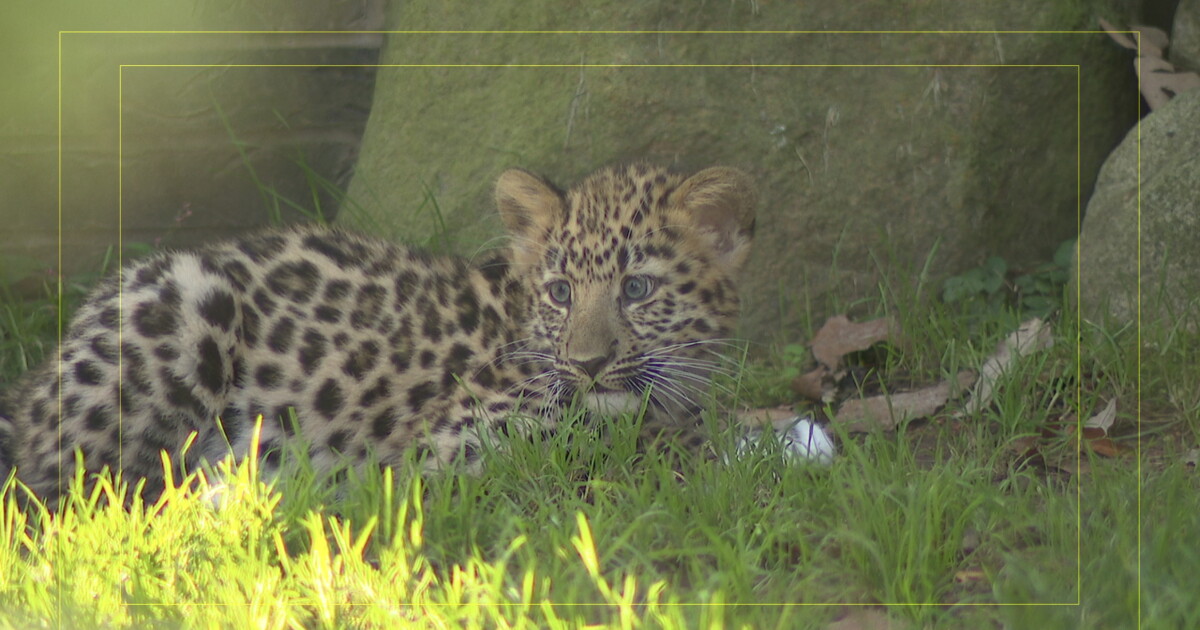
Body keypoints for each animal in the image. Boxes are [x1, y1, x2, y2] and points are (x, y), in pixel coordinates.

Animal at [0, 163, 763, 505]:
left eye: (637, 290)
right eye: (561, 293)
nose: (589, 364)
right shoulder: (461, 447)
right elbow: (575, 465)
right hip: (186, 305)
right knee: (68, 494)